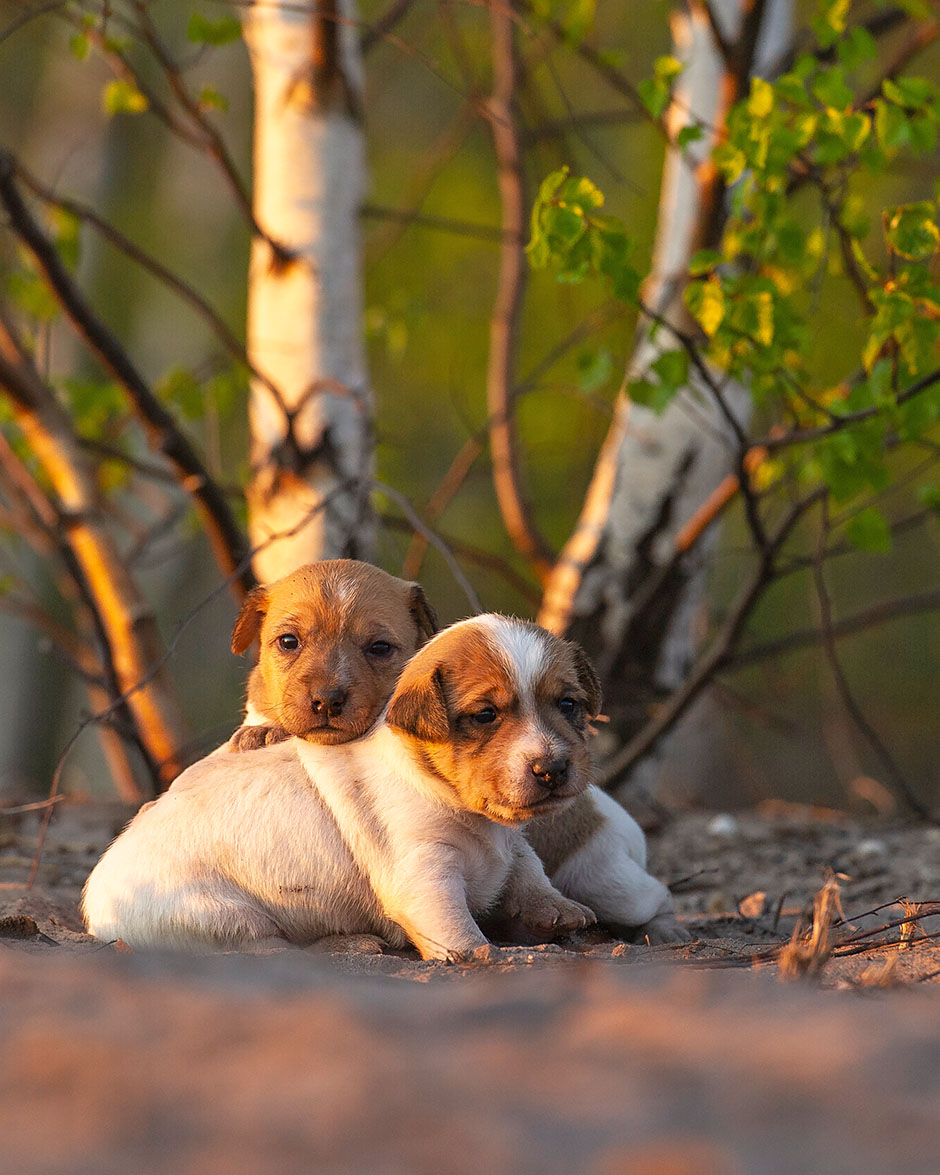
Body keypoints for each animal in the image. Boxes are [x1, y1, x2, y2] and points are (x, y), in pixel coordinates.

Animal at [81, 611, 599, 958]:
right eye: (486, 714)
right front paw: (480, 954)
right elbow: (455, 927)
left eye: (568, 705)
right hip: (223, 917)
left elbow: (529, 870)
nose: (553, 769)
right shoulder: (423, 872)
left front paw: (556, 907)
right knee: (263, 945)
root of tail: (93, 904)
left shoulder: (510, 846)